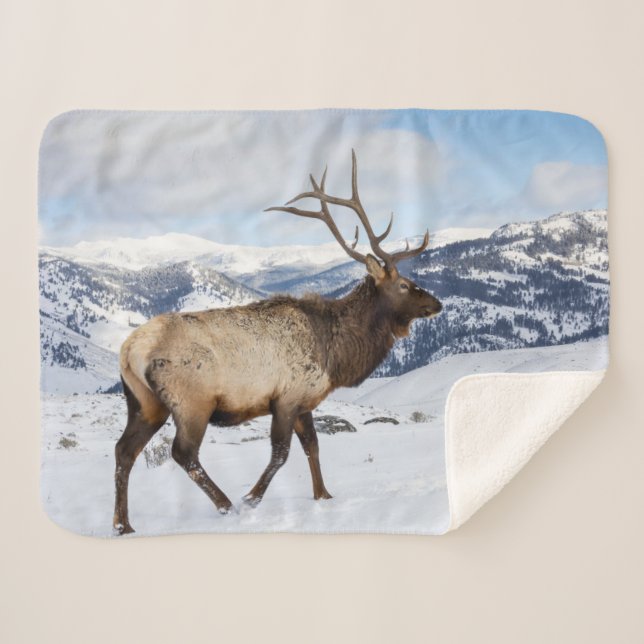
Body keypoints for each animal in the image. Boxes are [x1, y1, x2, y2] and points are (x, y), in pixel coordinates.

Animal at [113, 150, 442, 534]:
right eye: (404, 285)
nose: (437, 303)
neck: (336, 354)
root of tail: (130, 350)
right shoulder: (285, 397)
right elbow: (282, 453)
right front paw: (251, 498)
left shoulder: (304, 401)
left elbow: (313, 446)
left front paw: (323, 495)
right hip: (191, 402)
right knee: (183, 453)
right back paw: (226, 504)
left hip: (144, 402)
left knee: (124, 450)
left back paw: (123, 524)